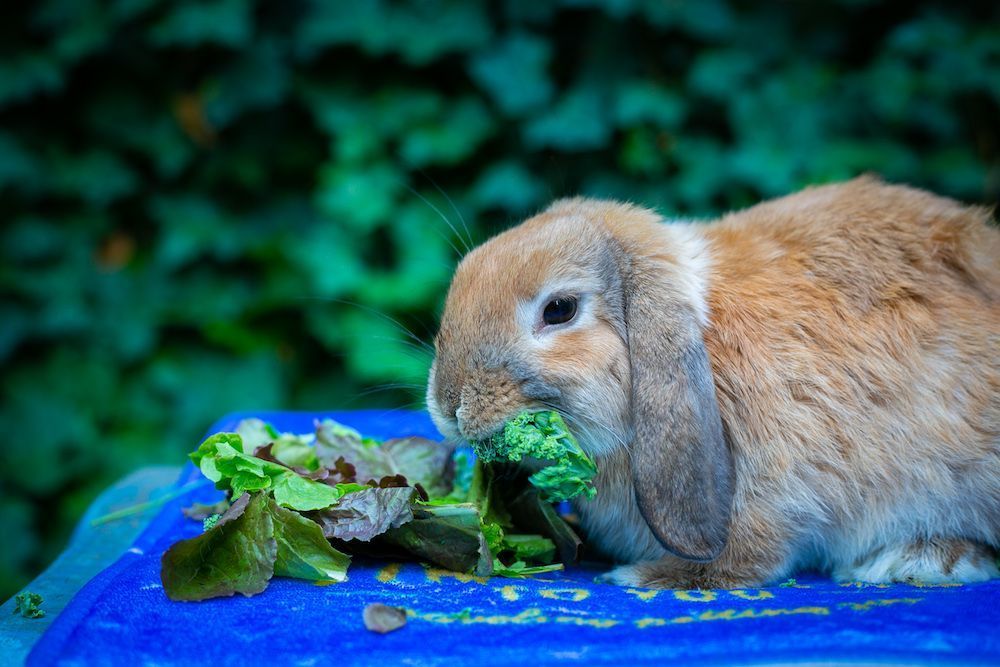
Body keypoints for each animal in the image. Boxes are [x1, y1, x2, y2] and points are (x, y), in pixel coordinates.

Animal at [425, 176, 1000, 589]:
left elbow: (746, 558)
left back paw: (921, 560)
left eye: (560, 310)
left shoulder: (776, 496)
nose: (448, 407)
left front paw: (647, 577)